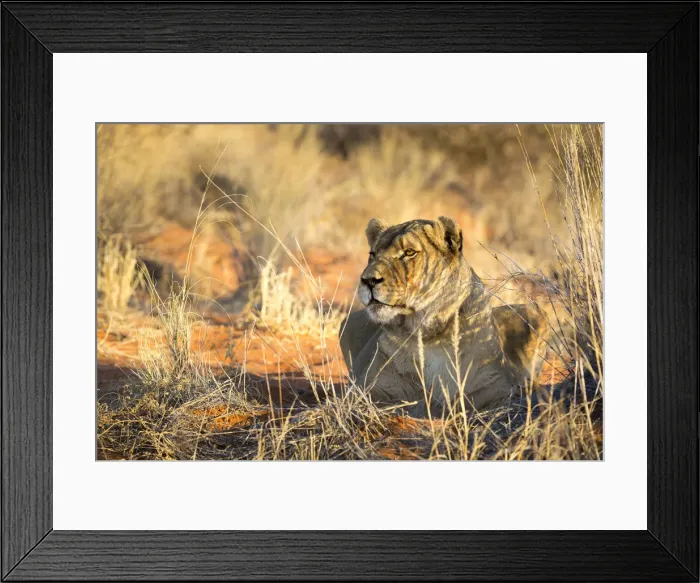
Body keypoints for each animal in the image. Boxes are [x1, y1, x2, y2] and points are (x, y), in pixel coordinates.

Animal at [339, 216, 548, 417]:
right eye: (372, 254)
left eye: (409, 252)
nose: (368, 280)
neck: (428, 331)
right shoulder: (369, 388)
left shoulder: (494, 385)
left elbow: (467, 402)